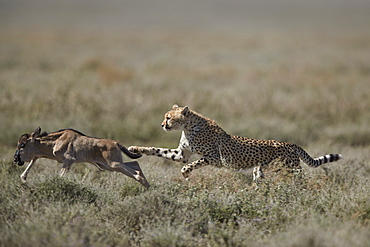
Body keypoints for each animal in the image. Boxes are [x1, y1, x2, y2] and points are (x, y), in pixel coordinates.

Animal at [129, 104, 342, 187]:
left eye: (168, 117)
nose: (162, 125)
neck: (189, 127)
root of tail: (289, 143)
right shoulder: (182, 154)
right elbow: (157, 150)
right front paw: (135, 149)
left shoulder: (215, 159)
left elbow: (189, 165)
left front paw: (186, 174)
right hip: (260, 169)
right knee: (259, 181)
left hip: (290, 169)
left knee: (300, 181)